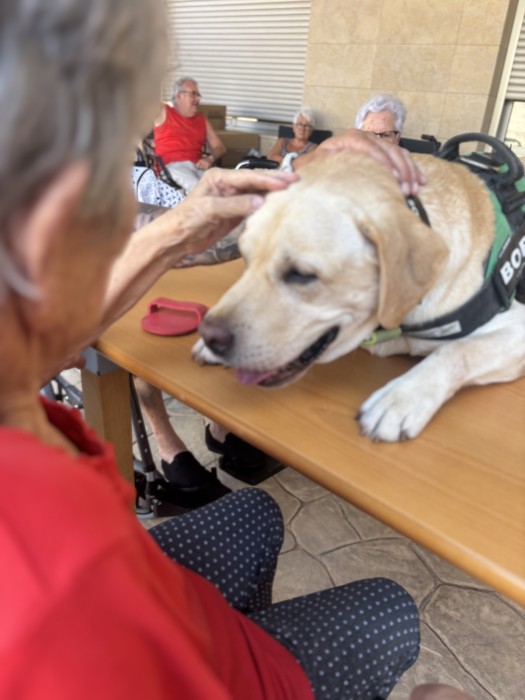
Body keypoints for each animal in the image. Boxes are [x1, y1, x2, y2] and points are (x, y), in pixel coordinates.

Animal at [193, 150, 525, 442]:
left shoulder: (516, 326)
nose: (210, 335)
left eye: (301, 274)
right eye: (246, 259)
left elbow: (457, 351)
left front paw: (400, 399)